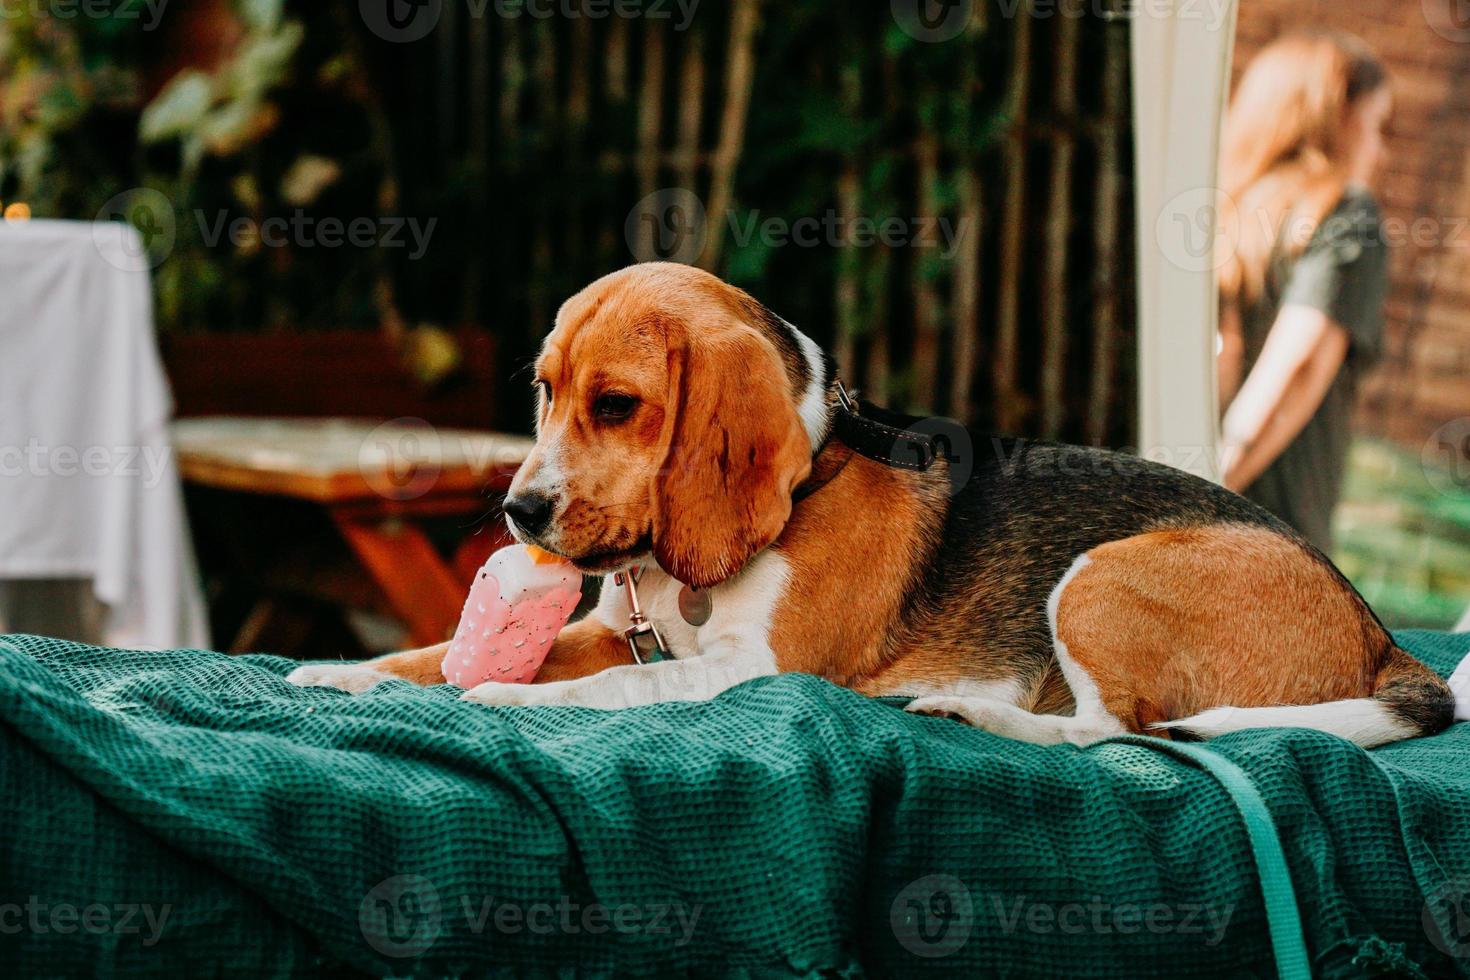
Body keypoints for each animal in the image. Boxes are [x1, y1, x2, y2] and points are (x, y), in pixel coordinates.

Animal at [292, 264, 1464, 746]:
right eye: (542, 388)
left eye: (617, 405)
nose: (520, 512)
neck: (809, 473)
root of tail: (1374, 630)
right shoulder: (626, 636)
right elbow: (428, 655)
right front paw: (349, 675)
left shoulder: (753, 669)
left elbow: (599, 694)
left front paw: (502, 701)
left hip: (1100, 577)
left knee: (1117, 733)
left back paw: (975, 712)